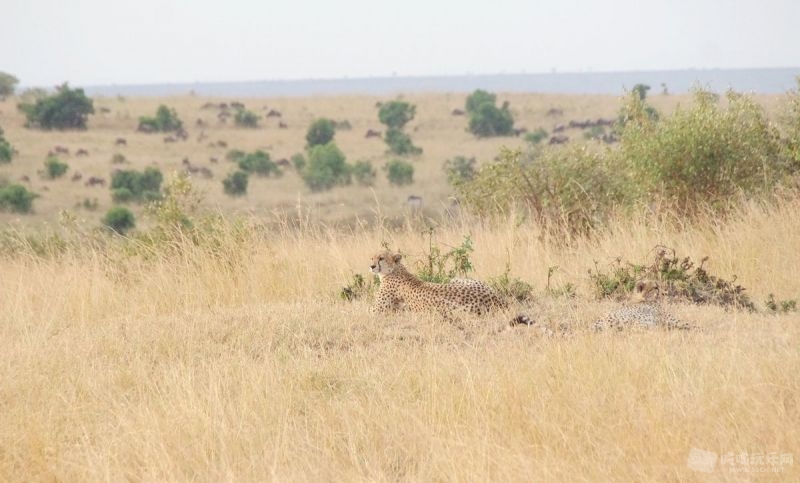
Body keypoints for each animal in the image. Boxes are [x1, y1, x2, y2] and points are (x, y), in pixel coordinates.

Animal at [372, 251, 536, 328]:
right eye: (371, 257)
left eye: (381, 258)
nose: (371, 266)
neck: (395, 269)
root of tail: (497, 300)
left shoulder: (376, 311)